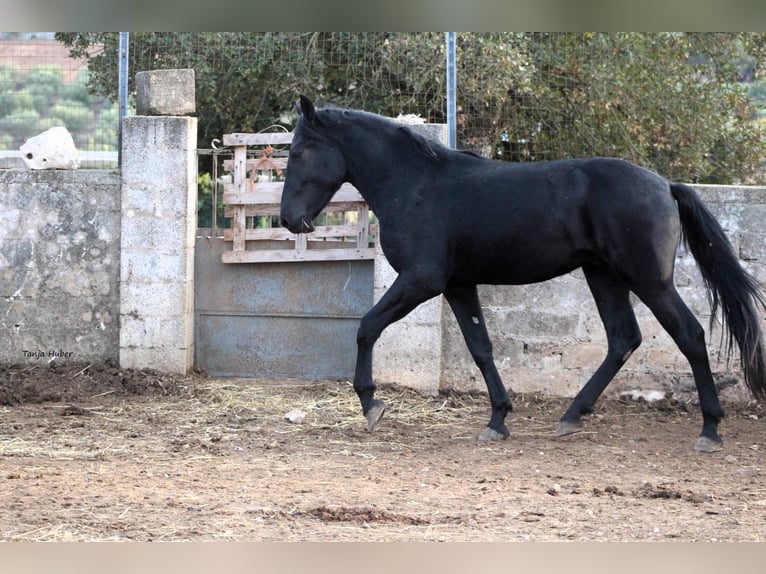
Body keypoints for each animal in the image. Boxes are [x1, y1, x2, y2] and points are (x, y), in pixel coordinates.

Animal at [282, 95, 766, 454]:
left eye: (298, 151)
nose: (289, 219)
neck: (415, 184)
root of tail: (665, 185)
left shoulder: (421, 281)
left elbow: (367, 327)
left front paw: (370, 404)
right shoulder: (458, 286)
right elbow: (481, 349)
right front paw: (498, 419)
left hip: (649, 280)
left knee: (689, 335)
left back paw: (709, 430)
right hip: (604, 276)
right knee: (623, 339)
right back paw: (571, 416)